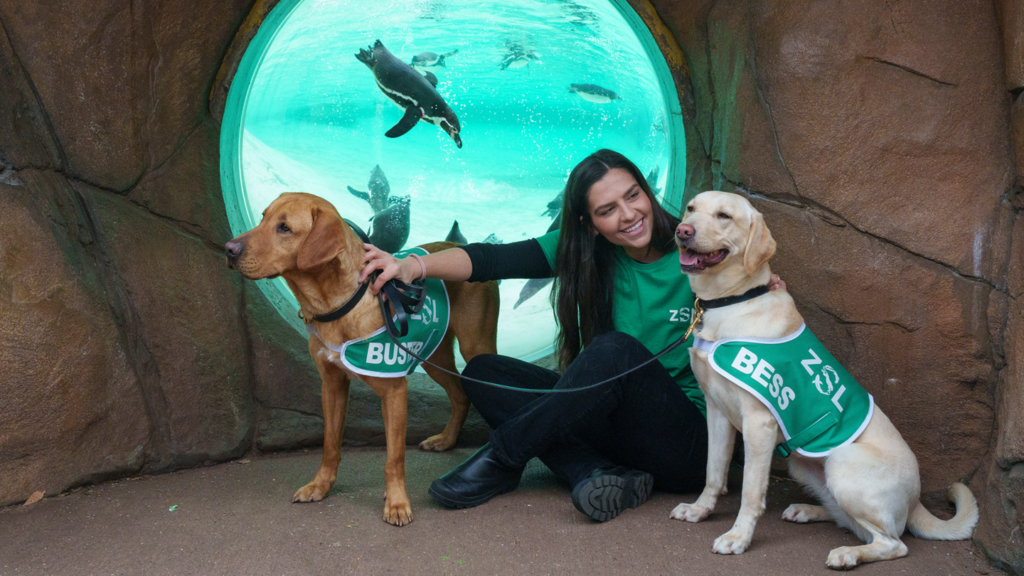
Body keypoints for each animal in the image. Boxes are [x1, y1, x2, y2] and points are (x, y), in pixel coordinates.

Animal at [224, 190, 499, 522]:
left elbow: (394, 458)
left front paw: (397, 502)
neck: (336, 303)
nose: (228, 249)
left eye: (285, 228)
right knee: (459, 396)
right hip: (436, 356)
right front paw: (320, 486)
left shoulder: (394, 392)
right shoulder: (331, 385)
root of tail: (463, 246)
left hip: (476, 346)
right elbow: (330, 445)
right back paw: (445, 440)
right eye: (263, 217)